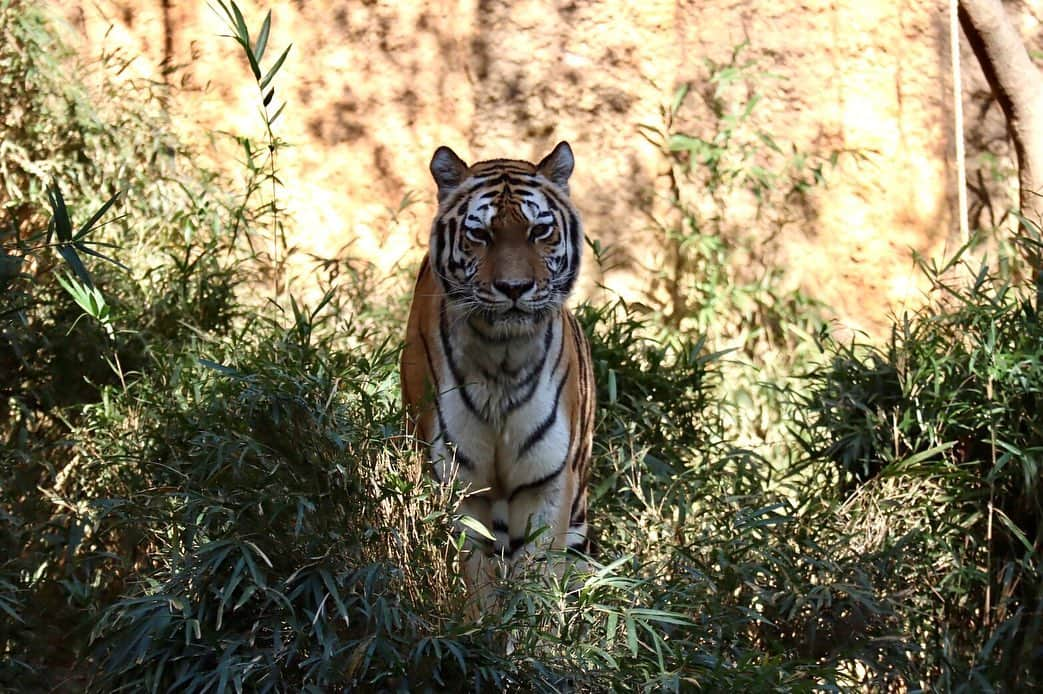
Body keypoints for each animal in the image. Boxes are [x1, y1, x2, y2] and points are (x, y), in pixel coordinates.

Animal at [398, 140, 596, 596]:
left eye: (539, 231)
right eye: (480, 234)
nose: (514, 288)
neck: (502, 357)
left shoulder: (548, 484)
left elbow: (538, 579)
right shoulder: (462, 486)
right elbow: (476, 583)